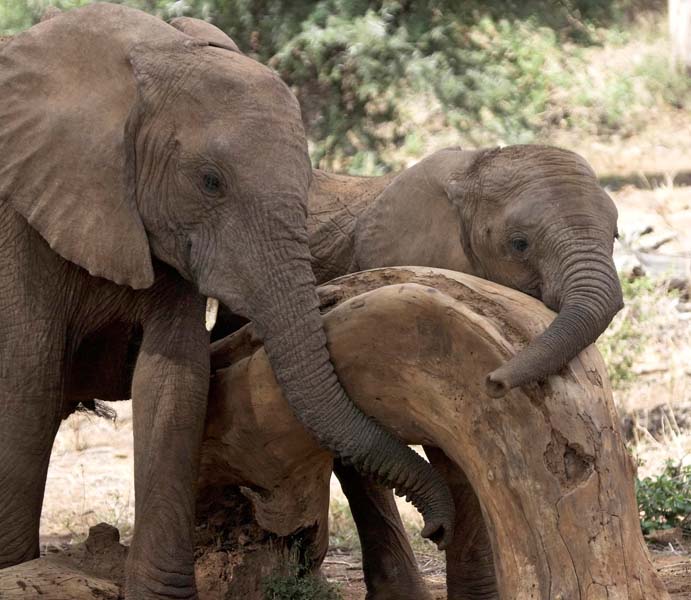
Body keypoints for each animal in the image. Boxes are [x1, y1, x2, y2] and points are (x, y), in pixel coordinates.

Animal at [0, 5, 454, 600]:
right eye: (210, 182)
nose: (439, 529)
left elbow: (174, 378)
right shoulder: (20, 219)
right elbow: (28, 380)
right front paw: (15, 572)